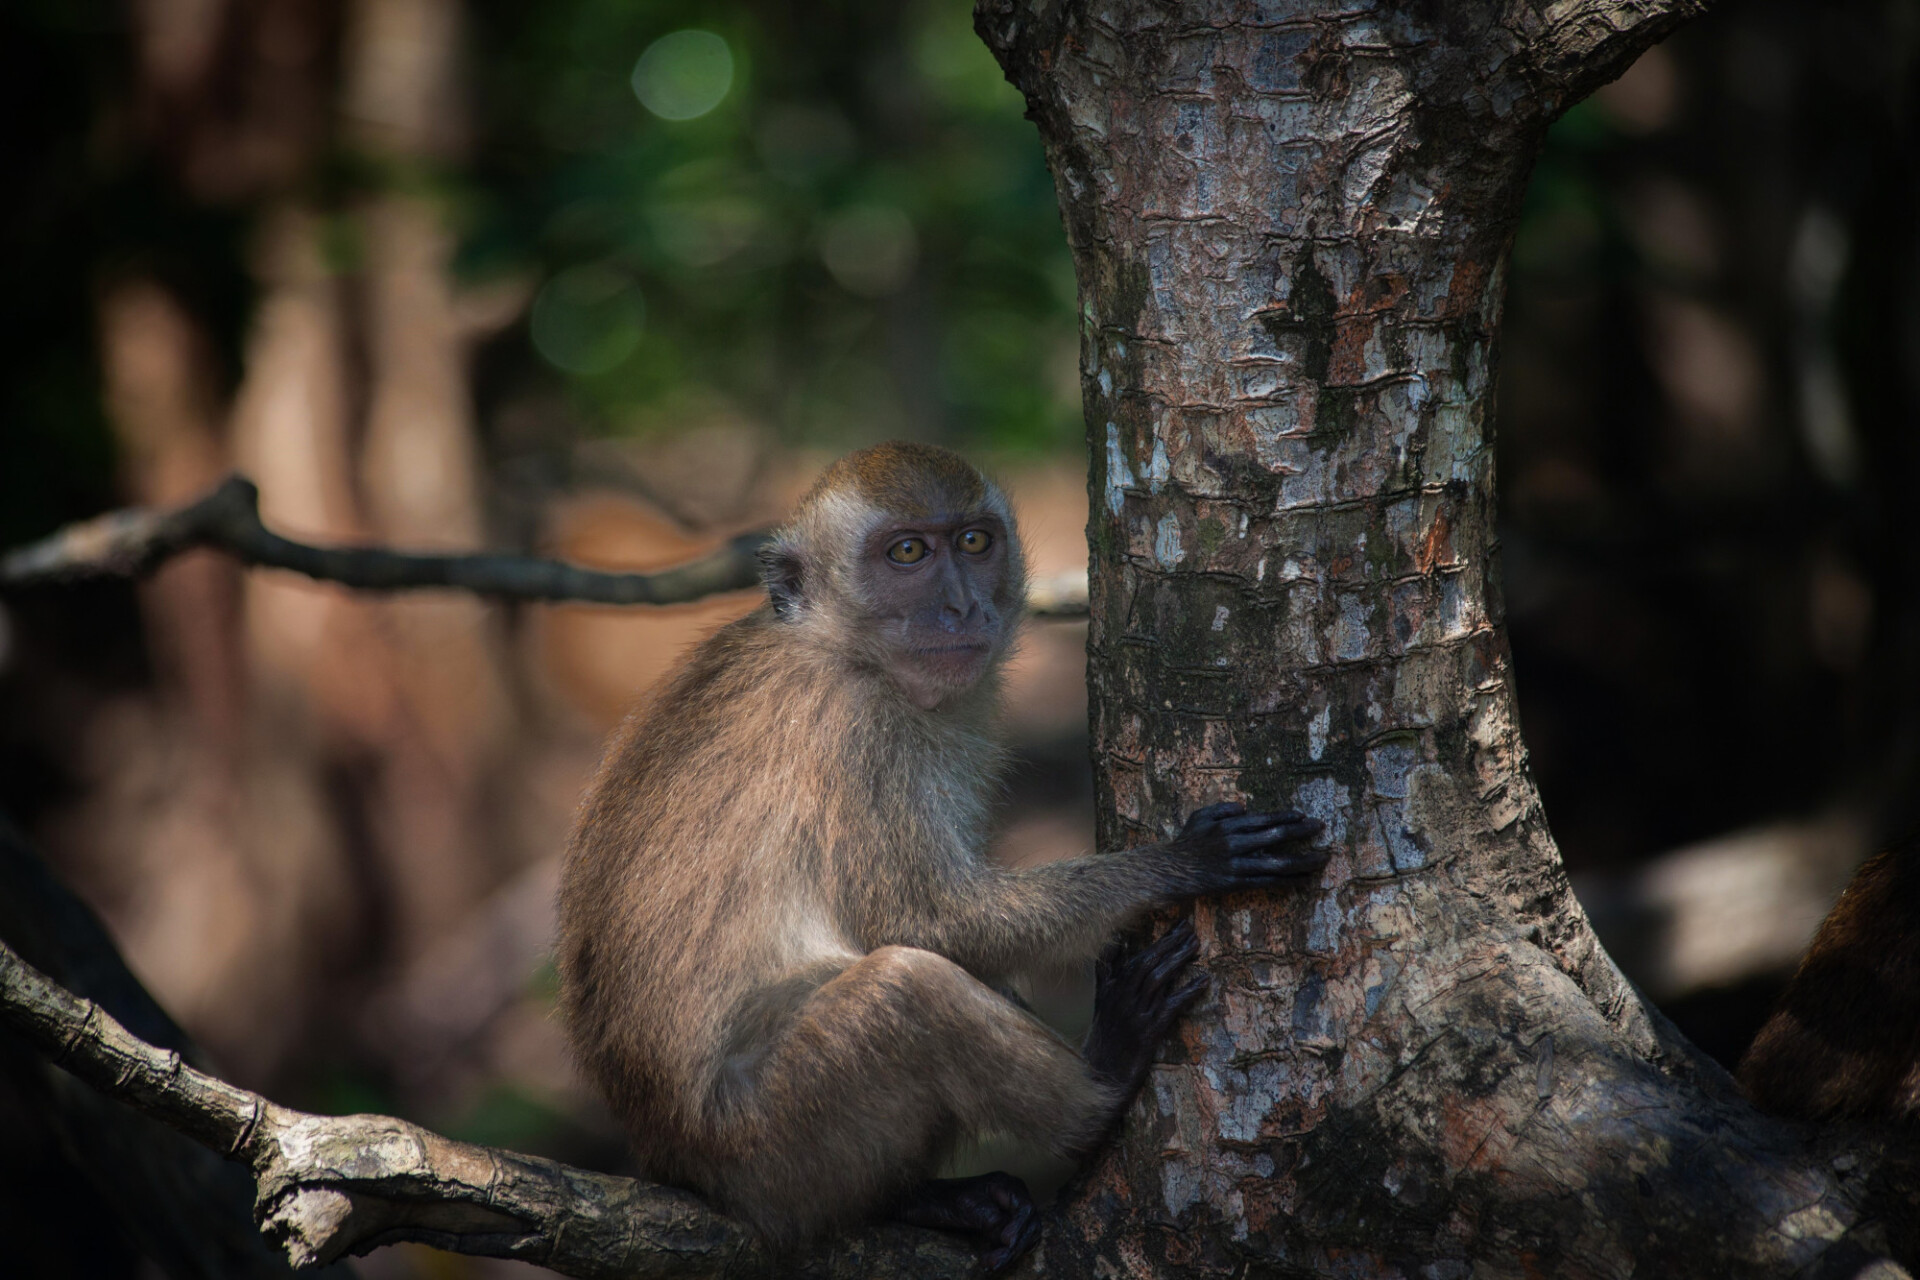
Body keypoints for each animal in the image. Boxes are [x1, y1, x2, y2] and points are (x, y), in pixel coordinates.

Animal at [556, 443, 1320, 1274]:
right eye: (908, 553)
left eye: (974, 542)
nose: (960, 607)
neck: (838, 646)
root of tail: (678, 1163)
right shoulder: (862, 733)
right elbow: (929, 922)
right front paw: (1180, 864)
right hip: (770, 1146)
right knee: (905, 990)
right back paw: (1099, 1088)